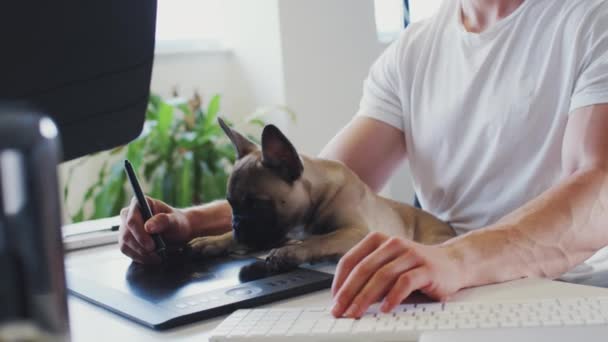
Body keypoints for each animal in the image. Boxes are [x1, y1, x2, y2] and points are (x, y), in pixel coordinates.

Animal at [188, 119, 454, 272]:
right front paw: (213, 240)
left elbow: (320, 240)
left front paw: (289, 252)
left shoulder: (355, 232)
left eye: (258, 205)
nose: (237, 224)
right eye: (230, 204)